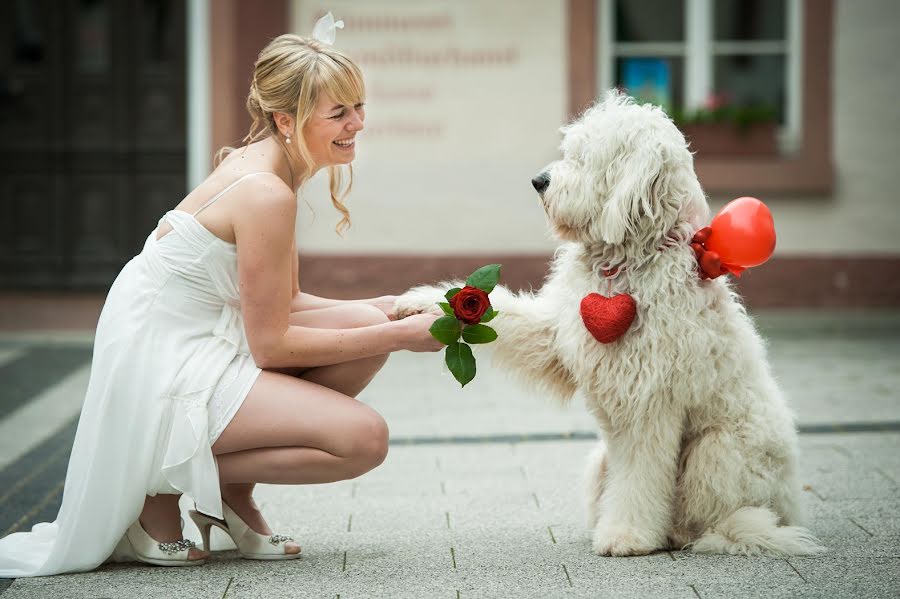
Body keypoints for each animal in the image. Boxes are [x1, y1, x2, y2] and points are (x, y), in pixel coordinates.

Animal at [398, 90, 828, 556]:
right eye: (570, 150)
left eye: (587, 157)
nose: (538, 181)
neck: (625, 264)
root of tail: (791, 504)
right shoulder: (557, 334)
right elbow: (507, 319)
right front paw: (422, 303)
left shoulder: (650, 402)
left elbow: (640, 477)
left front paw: (626, 535)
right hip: (599, 464)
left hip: (717, 452)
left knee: (723, 520)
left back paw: (696, 532)